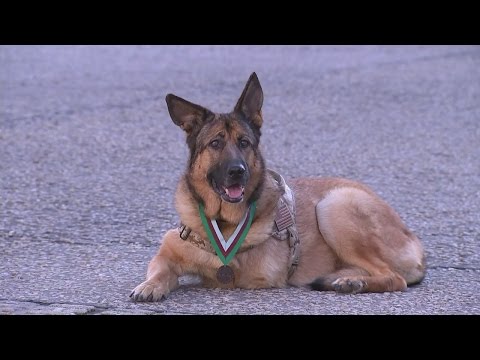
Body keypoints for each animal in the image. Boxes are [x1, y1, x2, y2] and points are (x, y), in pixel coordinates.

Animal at [129, 71, 426, 300]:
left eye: (244, 142)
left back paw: (354, 282)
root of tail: (412, 239)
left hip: (334, 206)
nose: (237, 172)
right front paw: (150, 285)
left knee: (395, 277)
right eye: (215, 143)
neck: (223, 223)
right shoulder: (167, 252)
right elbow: (161, 271)